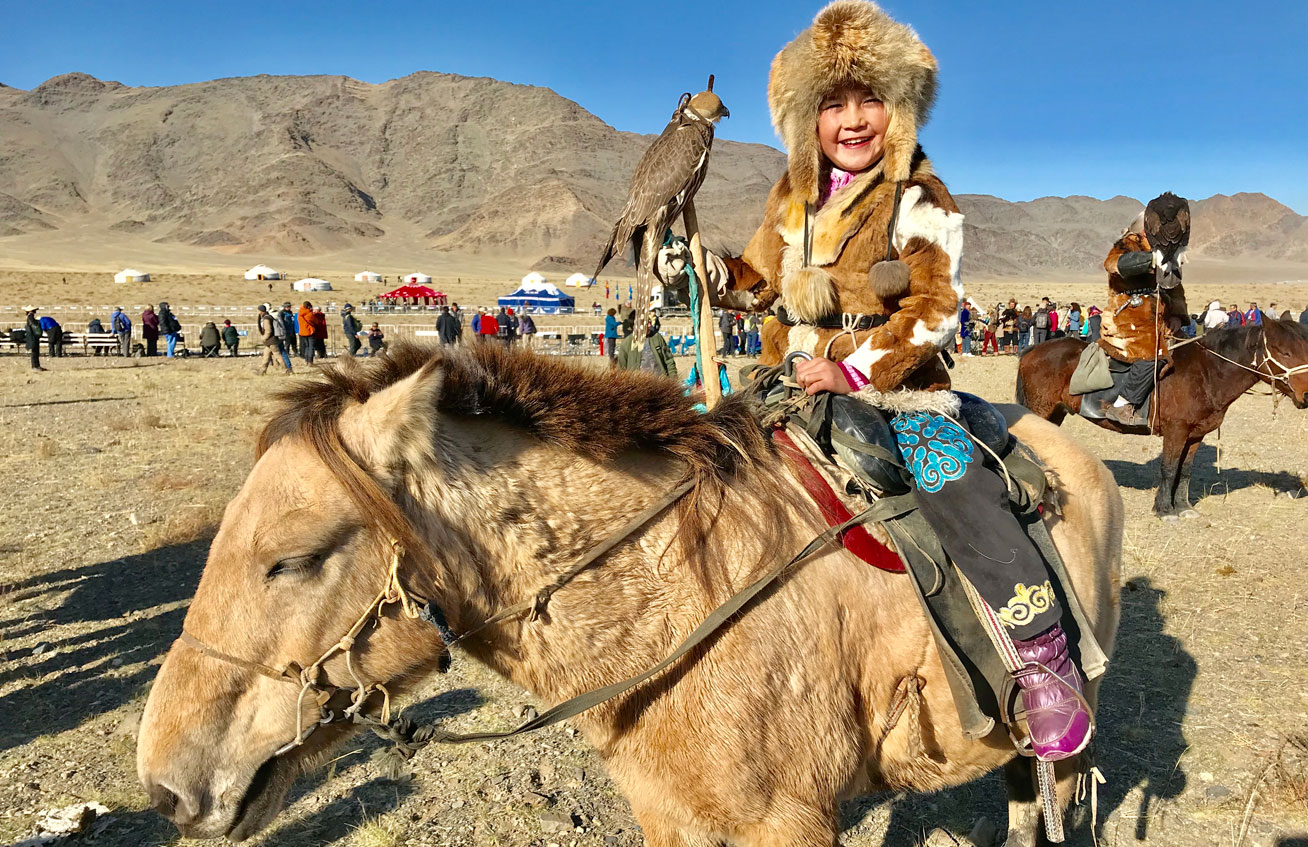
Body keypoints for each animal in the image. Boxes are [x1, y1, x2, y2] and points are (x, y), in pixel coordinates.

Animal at [1015, 318, 1308, 520]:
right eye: (1283, 351)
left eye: (1303, 349)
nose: (1306, 395)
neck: (1207, 372)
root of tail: (1033, 351)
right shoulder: (1176, 432)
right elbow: (1168, 468)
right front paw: (1165, 509)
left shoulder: (1195, 435)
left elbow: (1185, 470)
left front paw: (1183, 506)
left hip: (1054, 413)